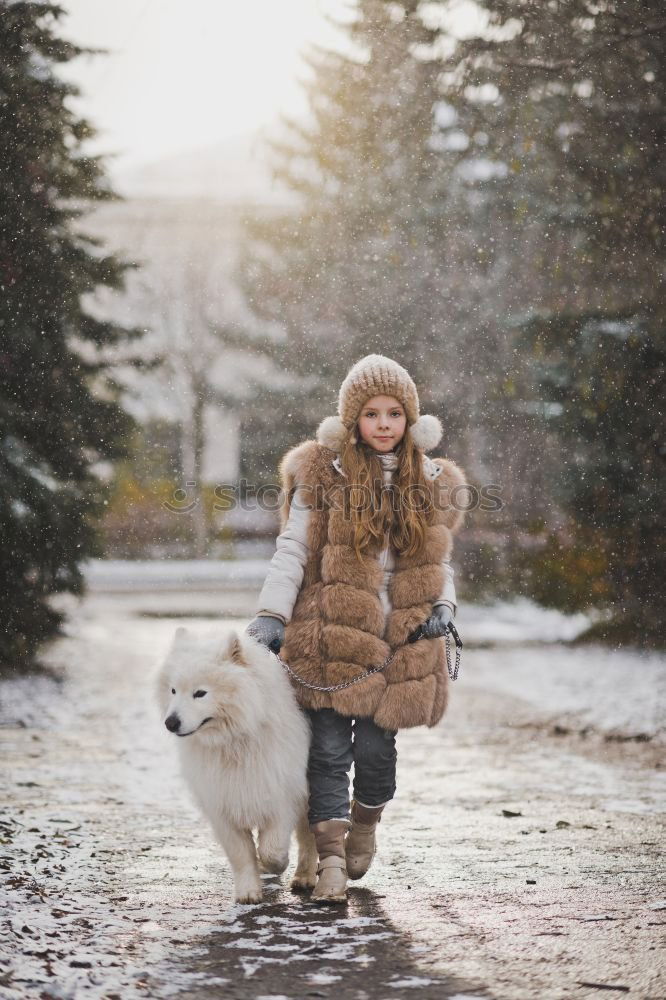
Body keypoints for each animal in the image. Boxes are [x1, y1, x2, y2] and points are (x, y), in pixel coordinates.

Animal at [158, 624, 320, 908]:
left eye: (200, 693)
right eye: (173, 690)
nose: (171, 722)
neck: (233, 741)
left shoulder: (281, 795)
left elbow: (271, 848)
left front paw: (278, 864)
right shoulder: (222, 804)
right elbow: (241, 854)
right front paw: (248, 892)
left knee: (308, 837)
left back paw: (304, 876)